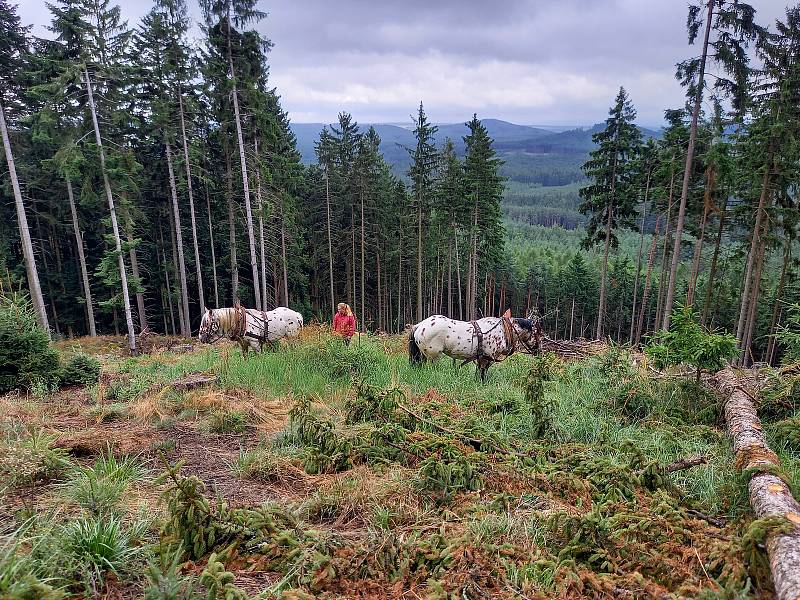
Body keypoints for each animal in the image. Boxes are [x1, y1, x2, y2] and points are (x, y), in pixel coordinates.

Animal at [406, 312, 544, 382]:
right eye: (538, 333)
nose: (539, 351)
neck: (503, 330)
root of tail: (419, 325)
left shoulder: (481, 357)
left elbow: (479, 371)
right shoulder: (488, 357)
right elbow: (483, 371)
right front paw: (482, 382)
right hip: (433, 356)